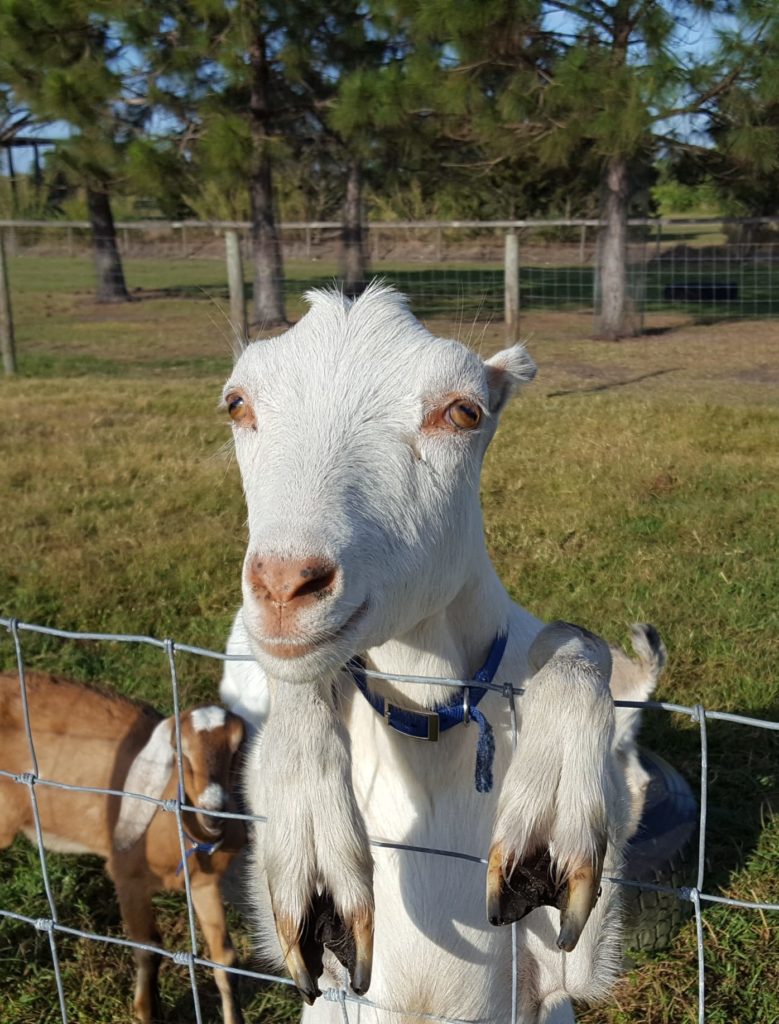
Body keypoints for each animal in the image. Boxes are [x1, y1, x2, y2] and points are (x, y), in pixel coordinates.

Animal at [0, 671, 245, 1024]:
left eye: (238, 748)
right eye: (180, 752)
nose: (214, 811)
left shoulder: (203, 883)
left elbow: (225, 959)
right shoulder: (128, 879)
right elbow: (149, 948)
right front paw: (145, 1012)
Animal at [217, 286, 663, 1024]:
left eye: (463, 412)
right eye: (236, 403)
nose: (283, 587)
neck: (426, 722)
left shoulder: (558, 970)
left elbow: (571, 637)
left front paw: (550, 813)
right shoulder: (324, 978)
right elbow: (301, 683)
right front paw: (312, 843)